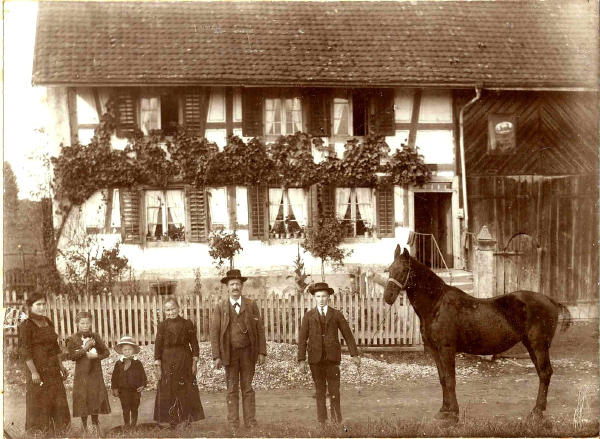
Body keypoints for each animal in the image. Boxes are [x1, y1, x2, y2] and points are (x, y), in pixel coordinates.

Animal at [384, 246, 572, 422]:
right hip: (531, 346)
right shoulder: (435, 350)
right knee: (542, 373)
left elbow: (450, 379)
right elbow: (443, 379)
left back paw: (537, 411)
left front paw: (453, 413)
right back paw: (538, 409)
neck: (436, 304)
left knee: (545, 373)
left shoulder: (446, 349)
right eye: (389, 269)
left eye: (403, 270)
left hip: (539, 345)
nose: (388, 297)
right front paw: (444, 410)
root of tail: (552, 301)